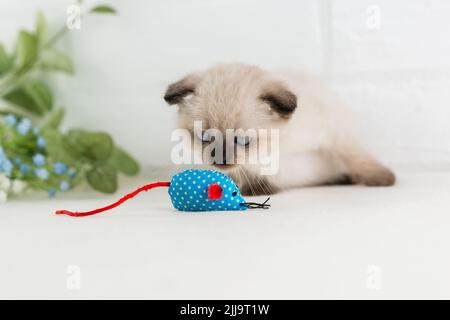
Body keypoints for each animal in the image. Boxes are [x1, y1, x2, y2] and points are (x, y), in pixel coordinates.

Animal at [163, 63, 396, 195]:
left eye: (243, 140)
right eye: (204, 137)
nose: (220, 161)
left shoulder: (336, 132)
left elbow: (357, 156)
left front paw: (382, 179)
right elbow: (252, 174)